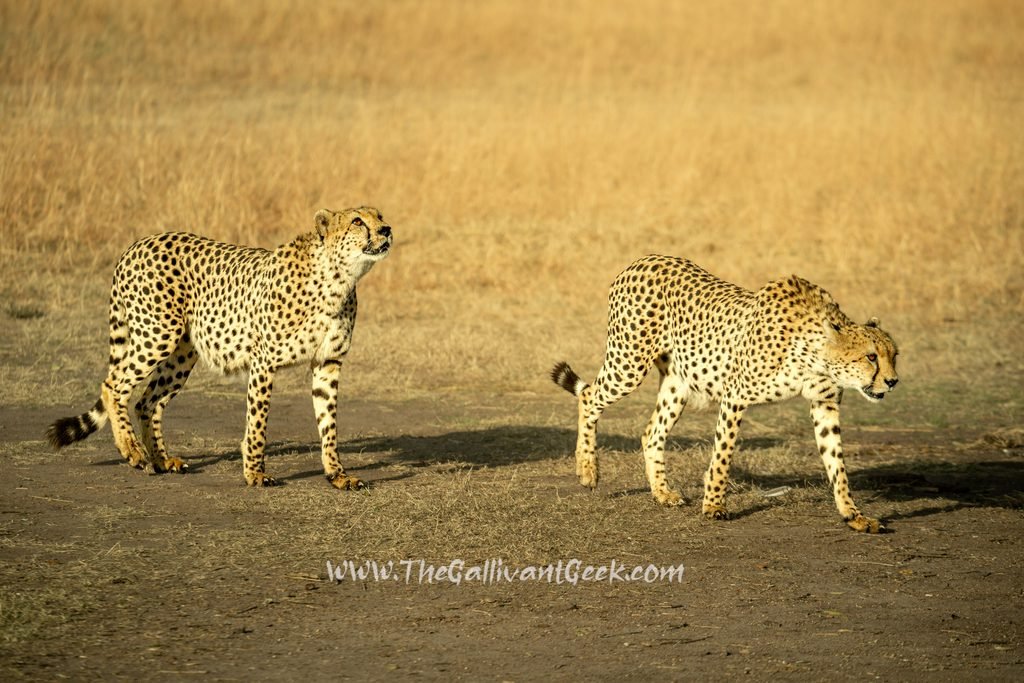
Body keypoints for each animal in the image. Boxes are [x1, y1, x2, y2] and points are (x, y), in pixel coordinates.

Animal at [46, 207, 393, 489]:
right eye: (358, 221)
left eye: (380, 215)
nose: (387, 229)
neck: (338, 279)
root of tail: (138, 243)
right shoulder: (263, 362)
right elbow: (258, 422)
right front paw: (254, 473)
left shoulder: (327, 364)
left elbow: (328, 423)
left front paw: (337, 474)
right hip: (157, 335)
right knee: (113, 385)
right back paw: (132, 451)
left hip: (182, 353)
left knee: (148, 401)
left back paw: (162, 459)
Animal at [552, 254, 899, 533]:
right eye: (871, 356)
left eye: (894, 355)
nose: (893, 381)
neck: (815, 356)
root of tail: (643, 259)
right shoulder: (735, 397)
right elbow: (723, 455)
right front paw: (714, 505)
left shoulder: (823, 404)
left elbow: (837, 465)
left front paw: (854, 515)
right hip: (629, 364)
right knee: (589, 397)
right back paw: (588, 470)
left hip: (678, 384)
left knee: (651, 433)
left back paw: (663, 493)